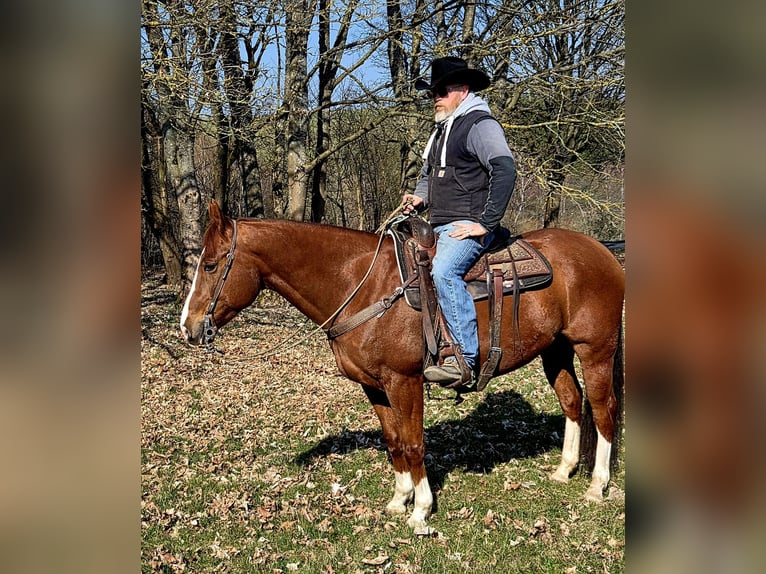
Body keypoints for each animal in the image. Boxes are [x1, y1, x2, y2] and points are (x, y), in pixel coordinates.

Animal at [180, 200, 625, 532]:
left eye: (211, 264)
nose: (188, 327)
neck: (361, 285)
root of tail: (603, 251)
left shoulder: (404, 381)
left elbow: (413, 443)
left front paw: (421, 510)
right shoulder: (375, 386)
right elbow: (393, 441)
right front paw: (399, 500)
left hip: (595, 350)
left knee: (604, 409)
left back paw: (596, 486)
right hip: (556, 350)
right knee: (572, 401)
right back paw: (564, 471)